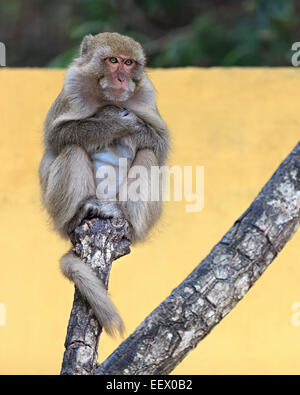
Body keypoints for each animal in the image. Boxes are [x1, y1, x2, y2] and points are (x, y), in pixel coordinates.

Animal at [38, 33, 169, 338]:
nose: (122, 78)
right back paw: (79, 213)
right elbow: (56, 137)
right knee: (73, 148)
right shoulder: (72, 84)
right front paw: (111, 120)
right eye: (113, 60)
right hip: (56, 209)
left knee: (148, 155)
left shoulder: (145, 93)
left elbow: (159, 144)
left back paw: (124, 221)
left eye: (129, 63)